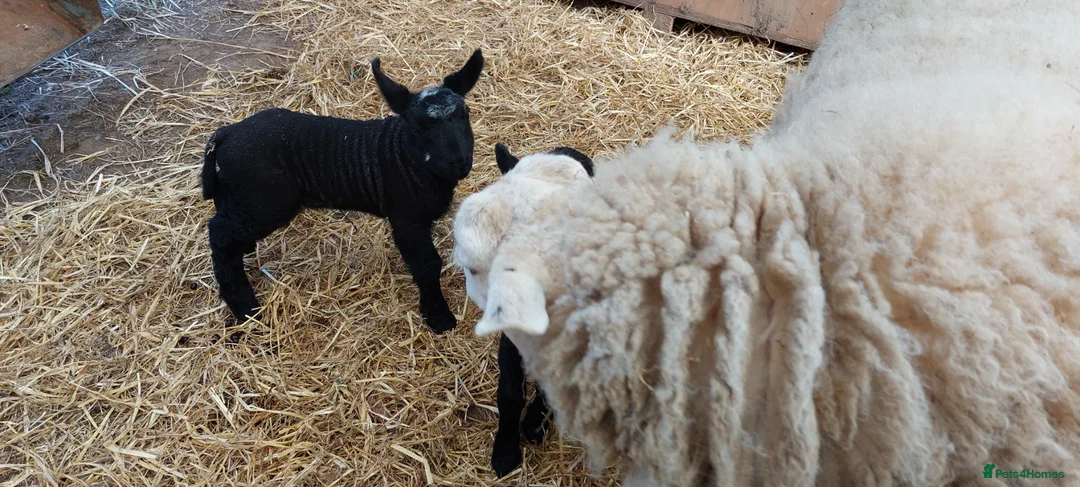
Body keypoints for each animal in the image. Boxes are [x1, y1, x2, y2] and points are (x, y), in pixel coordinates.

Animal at [201, 49, 483, 335]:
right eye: (419, 128)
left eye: (466, 113)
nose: (460, 162)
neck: (405, 156)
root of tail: (226, 133)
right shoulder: (406, 219)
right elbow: (427, 265)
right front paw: (439, 317)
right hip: (266, 200)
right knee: (220, 234)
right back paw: (245, 307)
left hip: (242, 193)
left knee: (223, 214)